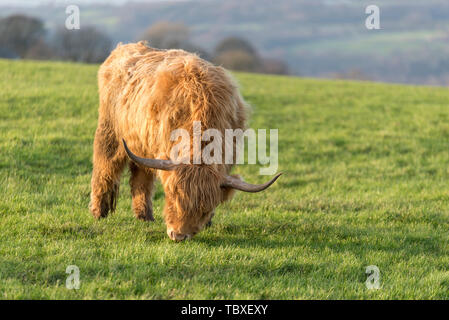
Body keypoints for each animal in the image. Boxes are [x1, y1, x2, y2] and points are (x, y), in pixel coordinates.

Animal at [88, 43, 280, 242]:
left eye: (204, 210)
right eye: (174, 198)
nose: (178, 235)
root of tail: (124, 48)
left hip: (141, 145)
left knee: (141, 179)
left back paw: (145, 216)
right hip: (109, 133)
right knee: (105, 168)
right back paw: (98, 212)